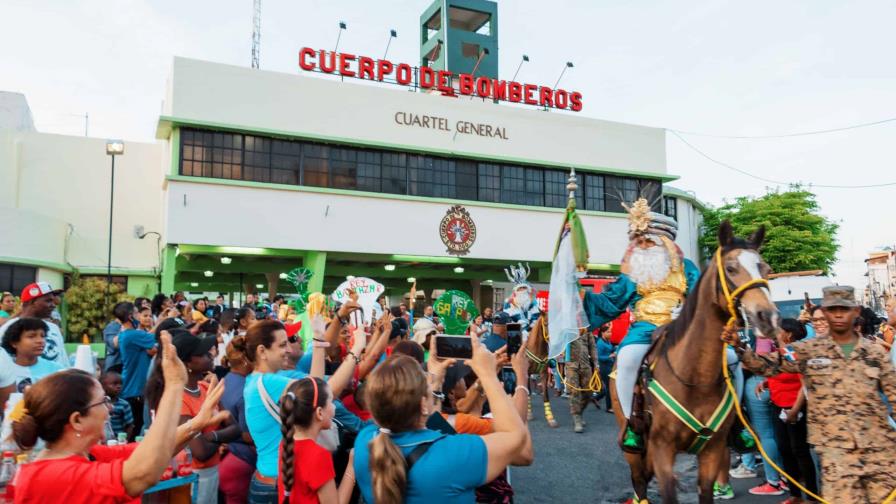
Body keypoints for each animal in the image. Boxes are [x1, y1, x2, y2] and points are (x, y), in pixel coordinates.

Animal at [608, 221, 776, 504]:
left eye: (765, 268)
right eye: (731, 268)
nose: (767, 317)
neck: (695, 377)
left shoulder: (713, 449)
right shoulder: (662, 450)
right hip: (633, 448)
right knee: (640, 483)